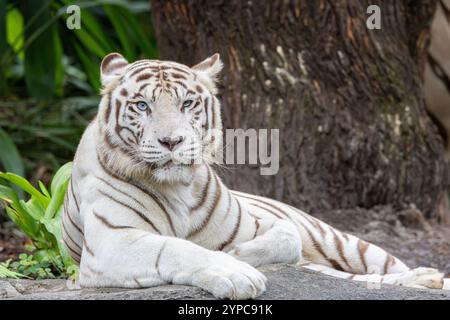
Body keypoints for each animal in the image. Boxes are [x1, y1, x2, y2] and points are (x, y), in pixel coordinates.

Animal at [61, 51, 448, 298]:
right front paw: (234, 271)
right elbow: (176, 248)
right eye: (142, 106)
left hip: (347, 243)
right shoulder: (112, 242)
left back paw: (430, 278)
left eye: (187, 104)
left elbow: (287, 236)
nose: (172, 141)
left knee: (375, 268)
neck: (177, 188)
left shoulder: (259, 224)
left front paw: (239, 254)